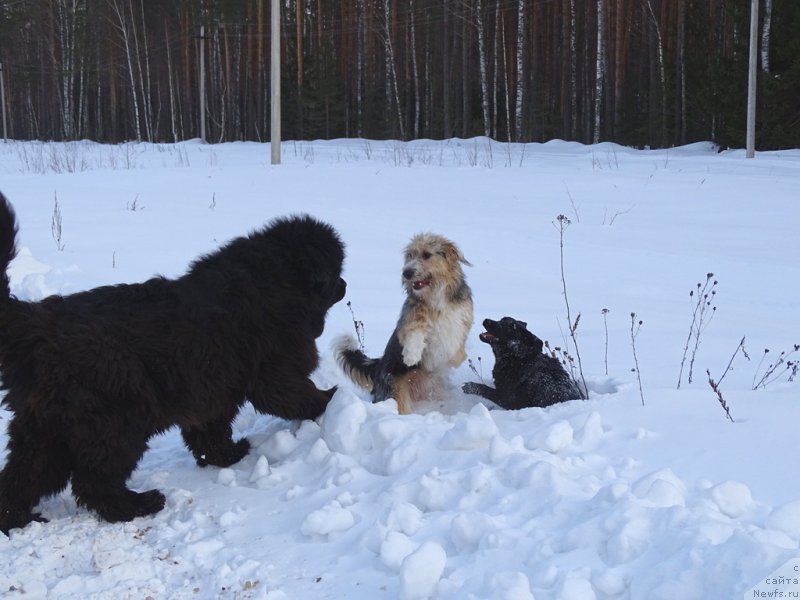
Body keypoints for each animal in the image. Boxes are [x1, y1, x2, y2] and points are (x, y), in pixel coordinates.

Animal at [0, 190, 344, 532]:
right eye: (336, 271)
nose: (344, 285)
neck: (276, 279)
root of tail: (38, 327)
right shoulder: (273, 372)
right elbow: (295, 394)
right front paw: (330, 400)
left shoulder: (213, 390)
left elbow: (210, 434)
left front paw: (229, 455)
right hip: (114, 421)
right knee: (92, 481)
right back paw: (138, 504)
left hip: (46, 428)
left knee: (23, 476)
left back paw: (18, 519)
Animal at [332, 233, 472, 412]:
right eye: (410, 256)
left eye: (427, 255)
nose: (407, 273)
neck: (436, 297)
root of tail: (379, 365)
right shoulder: (409, 319)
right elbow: (415, 333)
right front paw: (411, 356)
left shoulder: (462, 318)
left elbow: (457, 344)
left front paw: (456, 358)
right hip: (396, 392)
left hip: (437, 391)